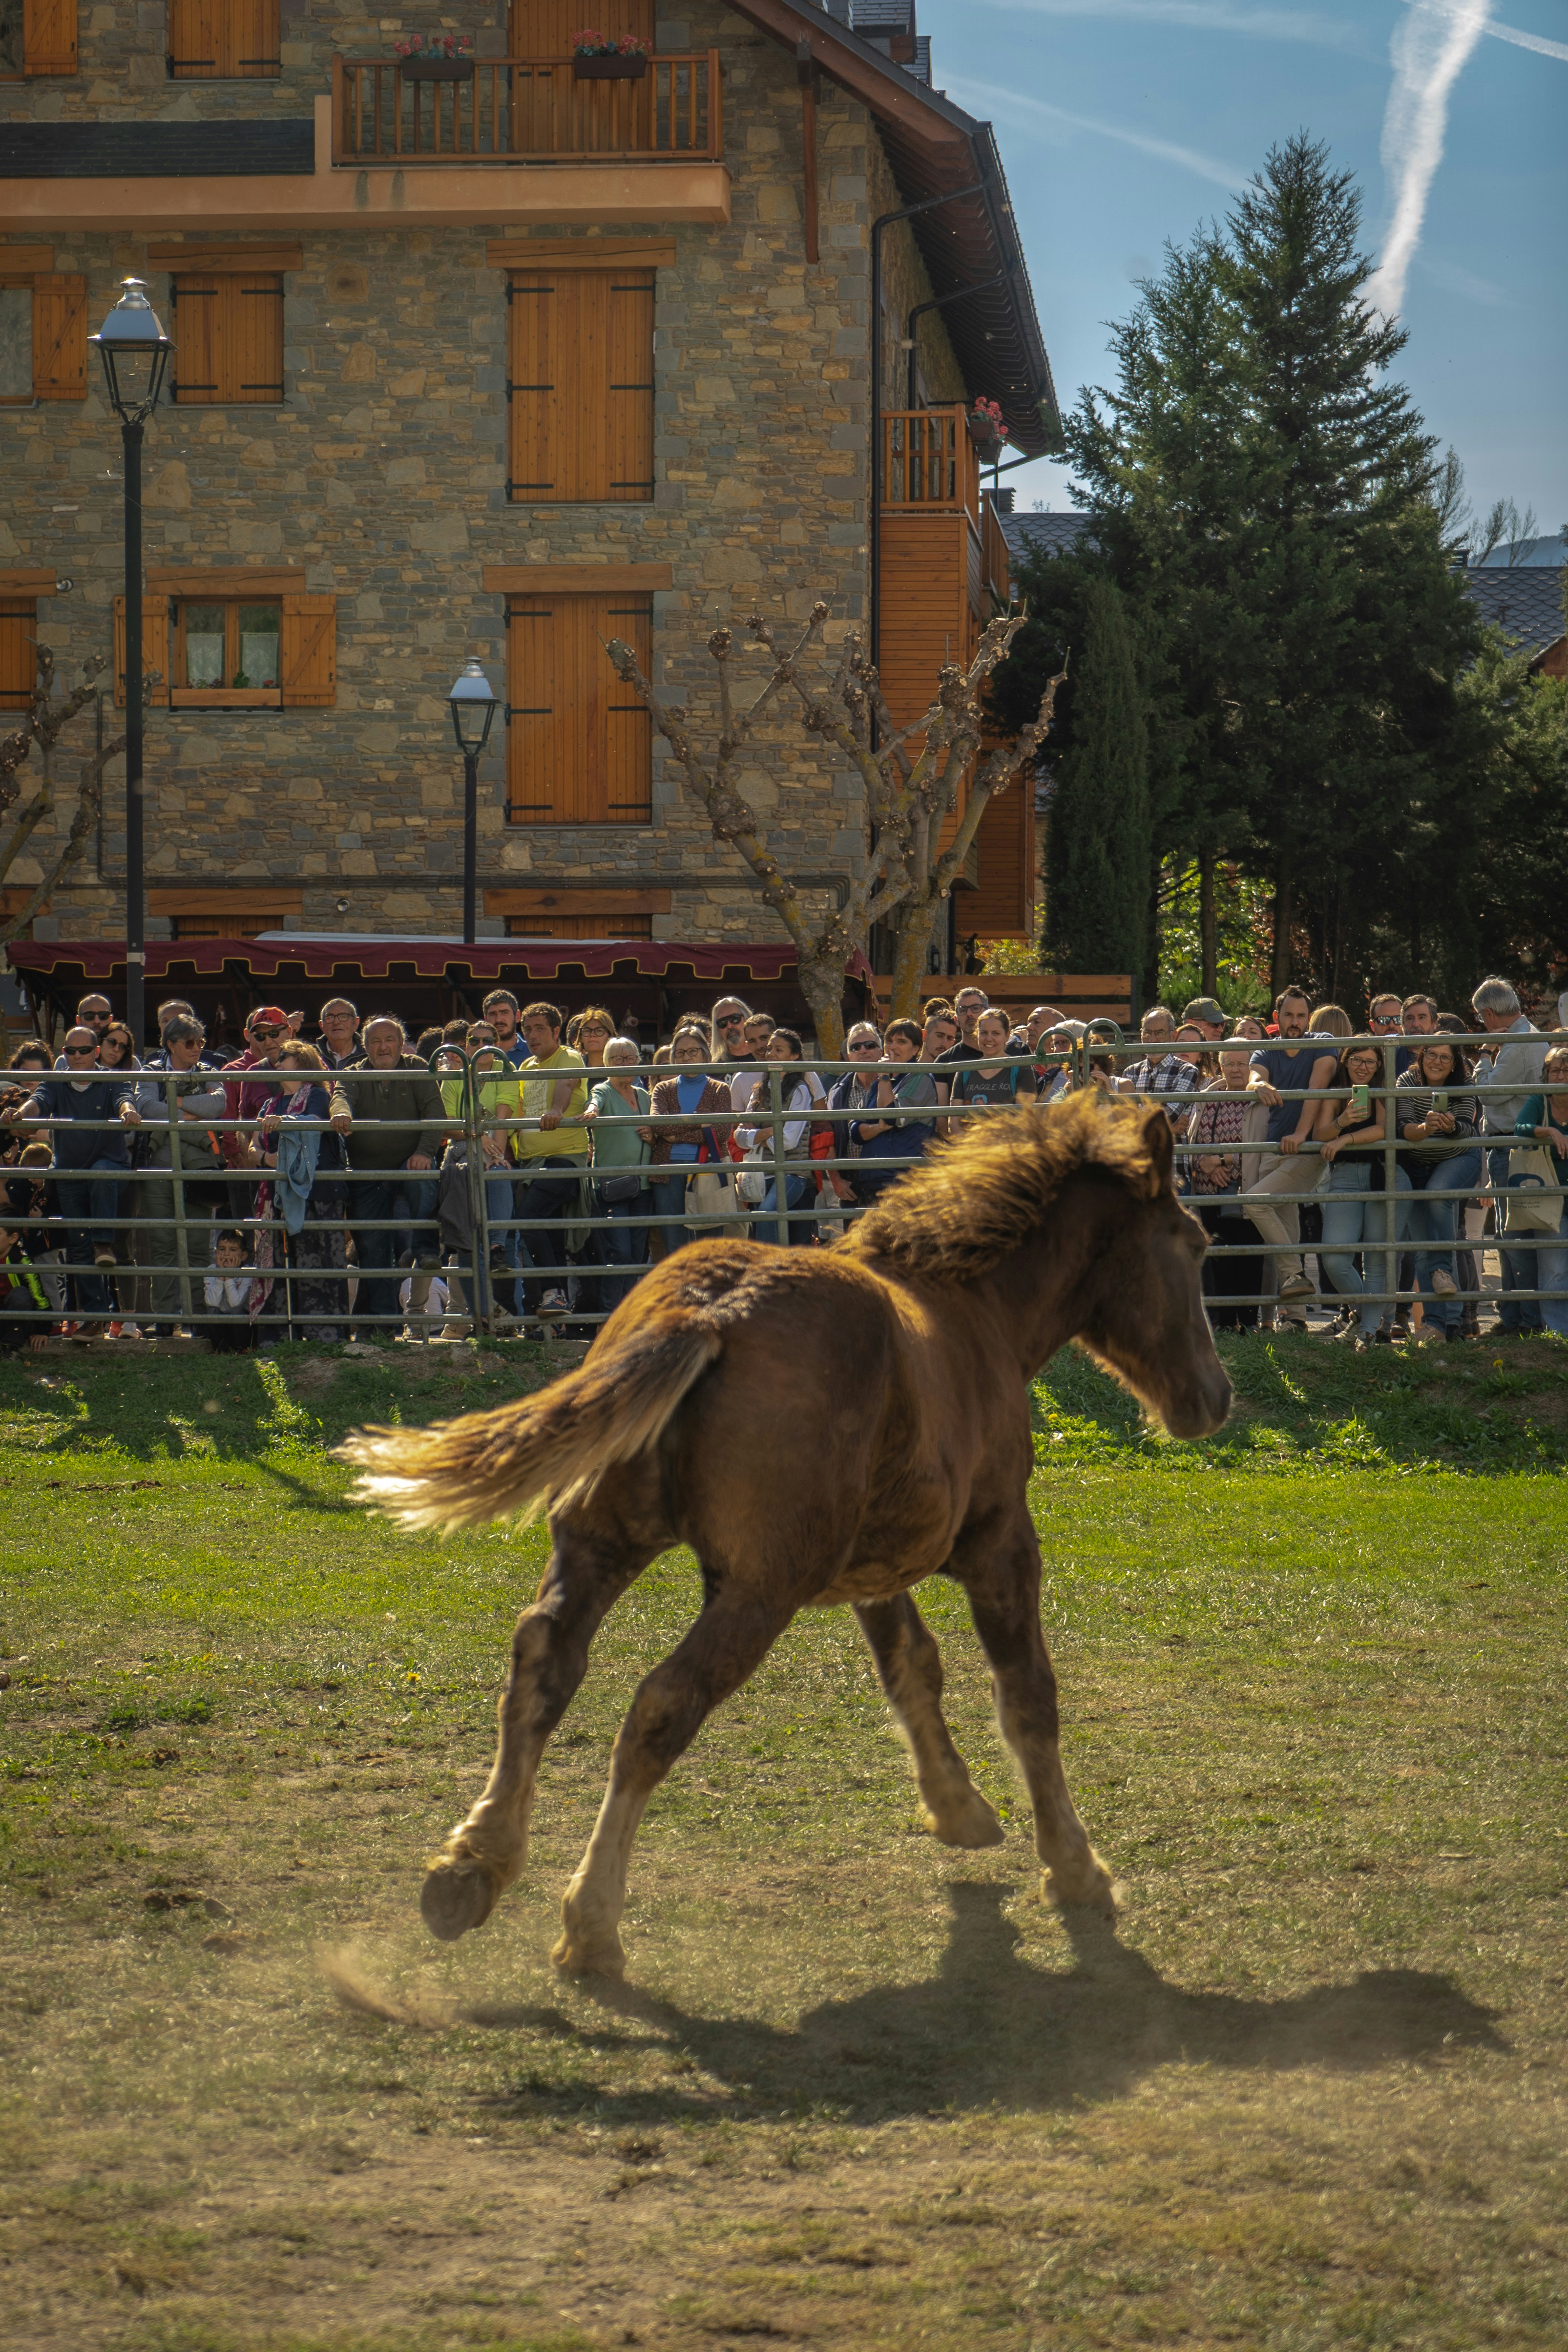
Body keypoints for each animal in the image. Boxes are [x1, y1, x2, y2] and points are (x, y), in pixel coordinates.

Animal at [343, 1093, 1231, 1978]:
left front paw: (958, 1807)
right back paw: (590, 1922)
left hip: (606, 1543)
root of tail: (707, 1307)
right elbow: (1027, 1698)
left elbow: (912, 1666)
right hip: (760, 1589)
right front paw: (1076, 1868)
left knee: (542, 1660)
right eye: (1193, 1244)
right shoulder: (999, 1543)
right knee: (661, 1703)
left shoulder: (871, 1567)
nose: (1213, 1397)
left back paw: (469, 1868)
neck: (974, 1313)